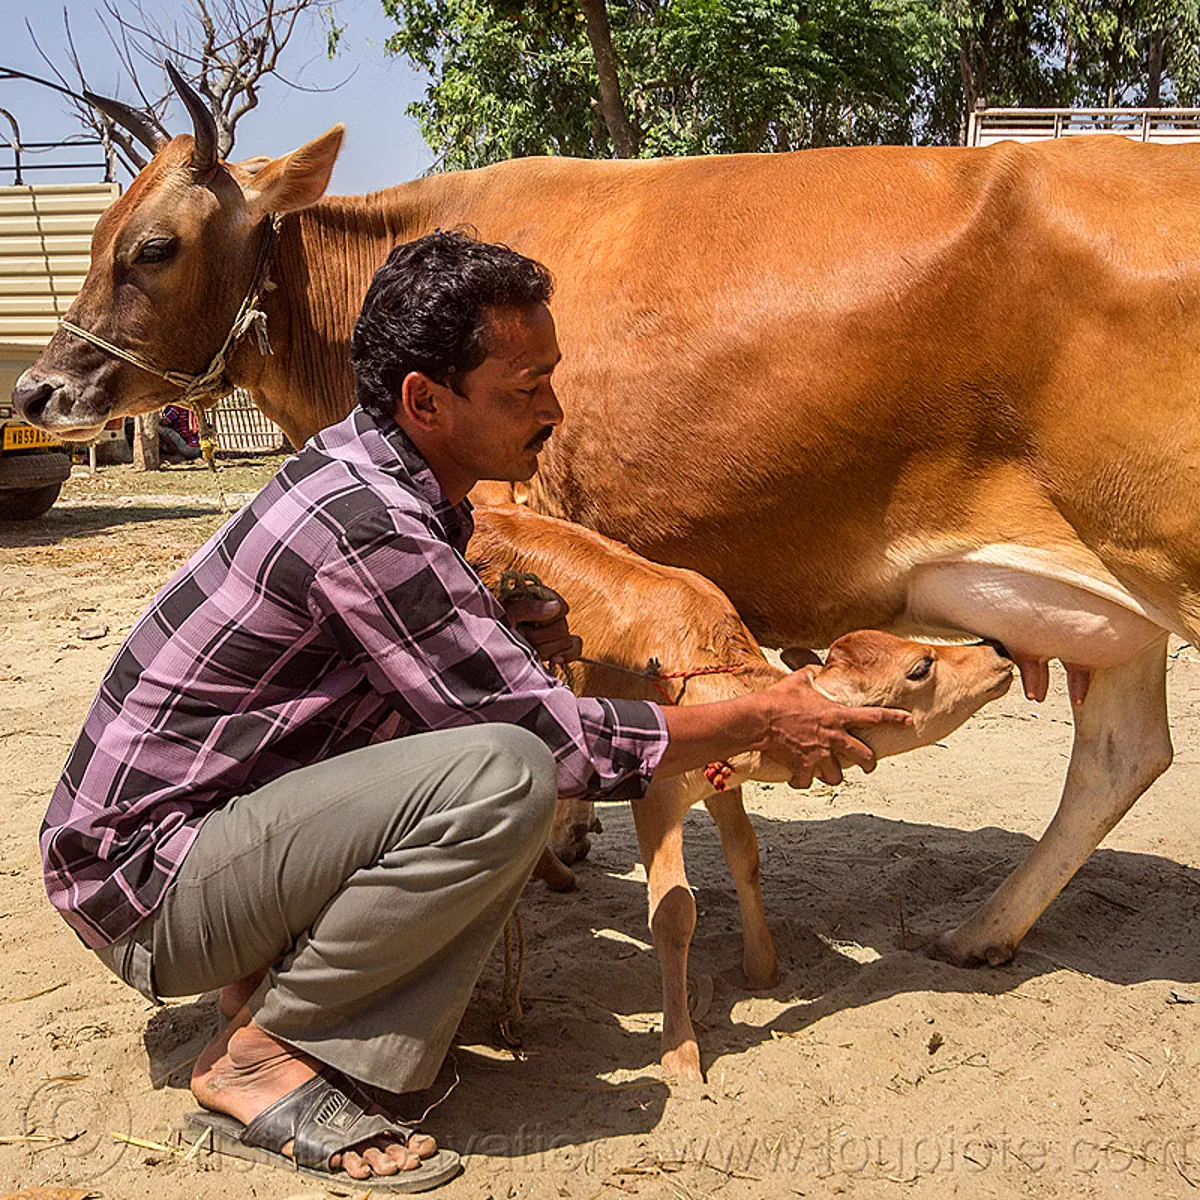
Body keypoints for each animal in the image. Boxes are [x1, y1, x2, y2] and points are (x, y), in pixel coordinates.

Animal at [14, 72, 1195, 964]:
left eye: (153, 247)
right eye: (99, 230)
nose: (36, 390)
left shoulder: (526, 509)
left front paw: (570, 836)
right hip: (1114, 602)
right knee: (1120, 756)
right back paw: (984, 931)